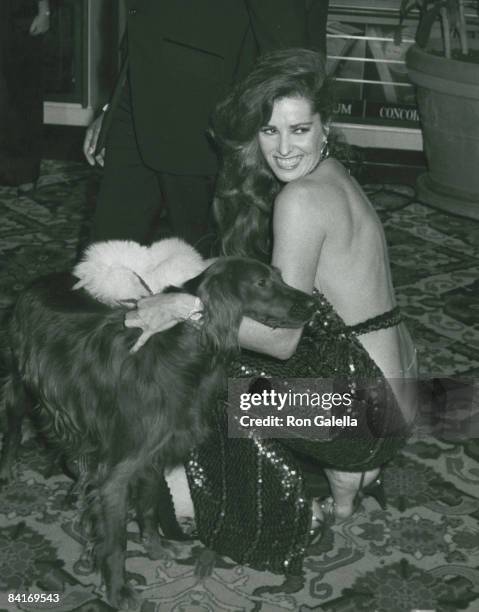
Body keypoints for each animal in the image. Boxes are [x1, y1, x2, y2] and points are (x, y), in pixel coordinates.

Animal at [0, 244, 316, 608]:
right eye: (262, 283)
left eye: (279, 276)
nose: (314, 305)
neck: (183, 354)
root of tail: (35, 283)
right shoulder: (117, 474)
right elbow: (116, 543)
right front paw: (119, 591)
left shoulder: (155, 456)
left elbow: (149, 507)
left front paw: (155, 549)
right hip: (20, 384)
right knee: (12, 425)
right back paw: (8, 470)